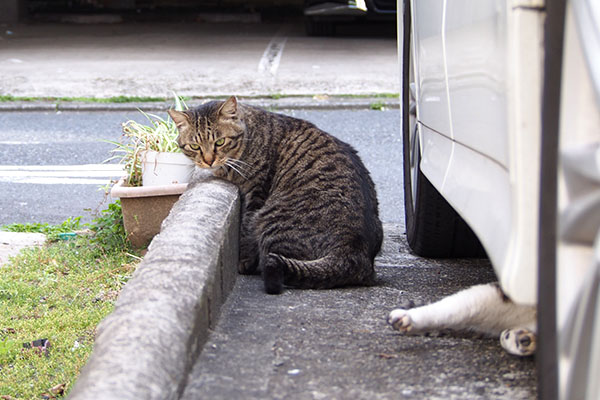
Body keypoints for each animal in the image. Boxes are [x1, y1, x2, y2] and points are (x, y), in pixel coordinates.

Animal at [170, 97, 384, 294]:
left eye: (220, 142)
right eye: (195, 146)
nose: (208, 161)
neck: (250, 136)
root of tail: (354, 252)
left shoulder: (256, 193)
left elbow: (246, 230)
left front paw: (244, 260)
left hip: (271, 221)